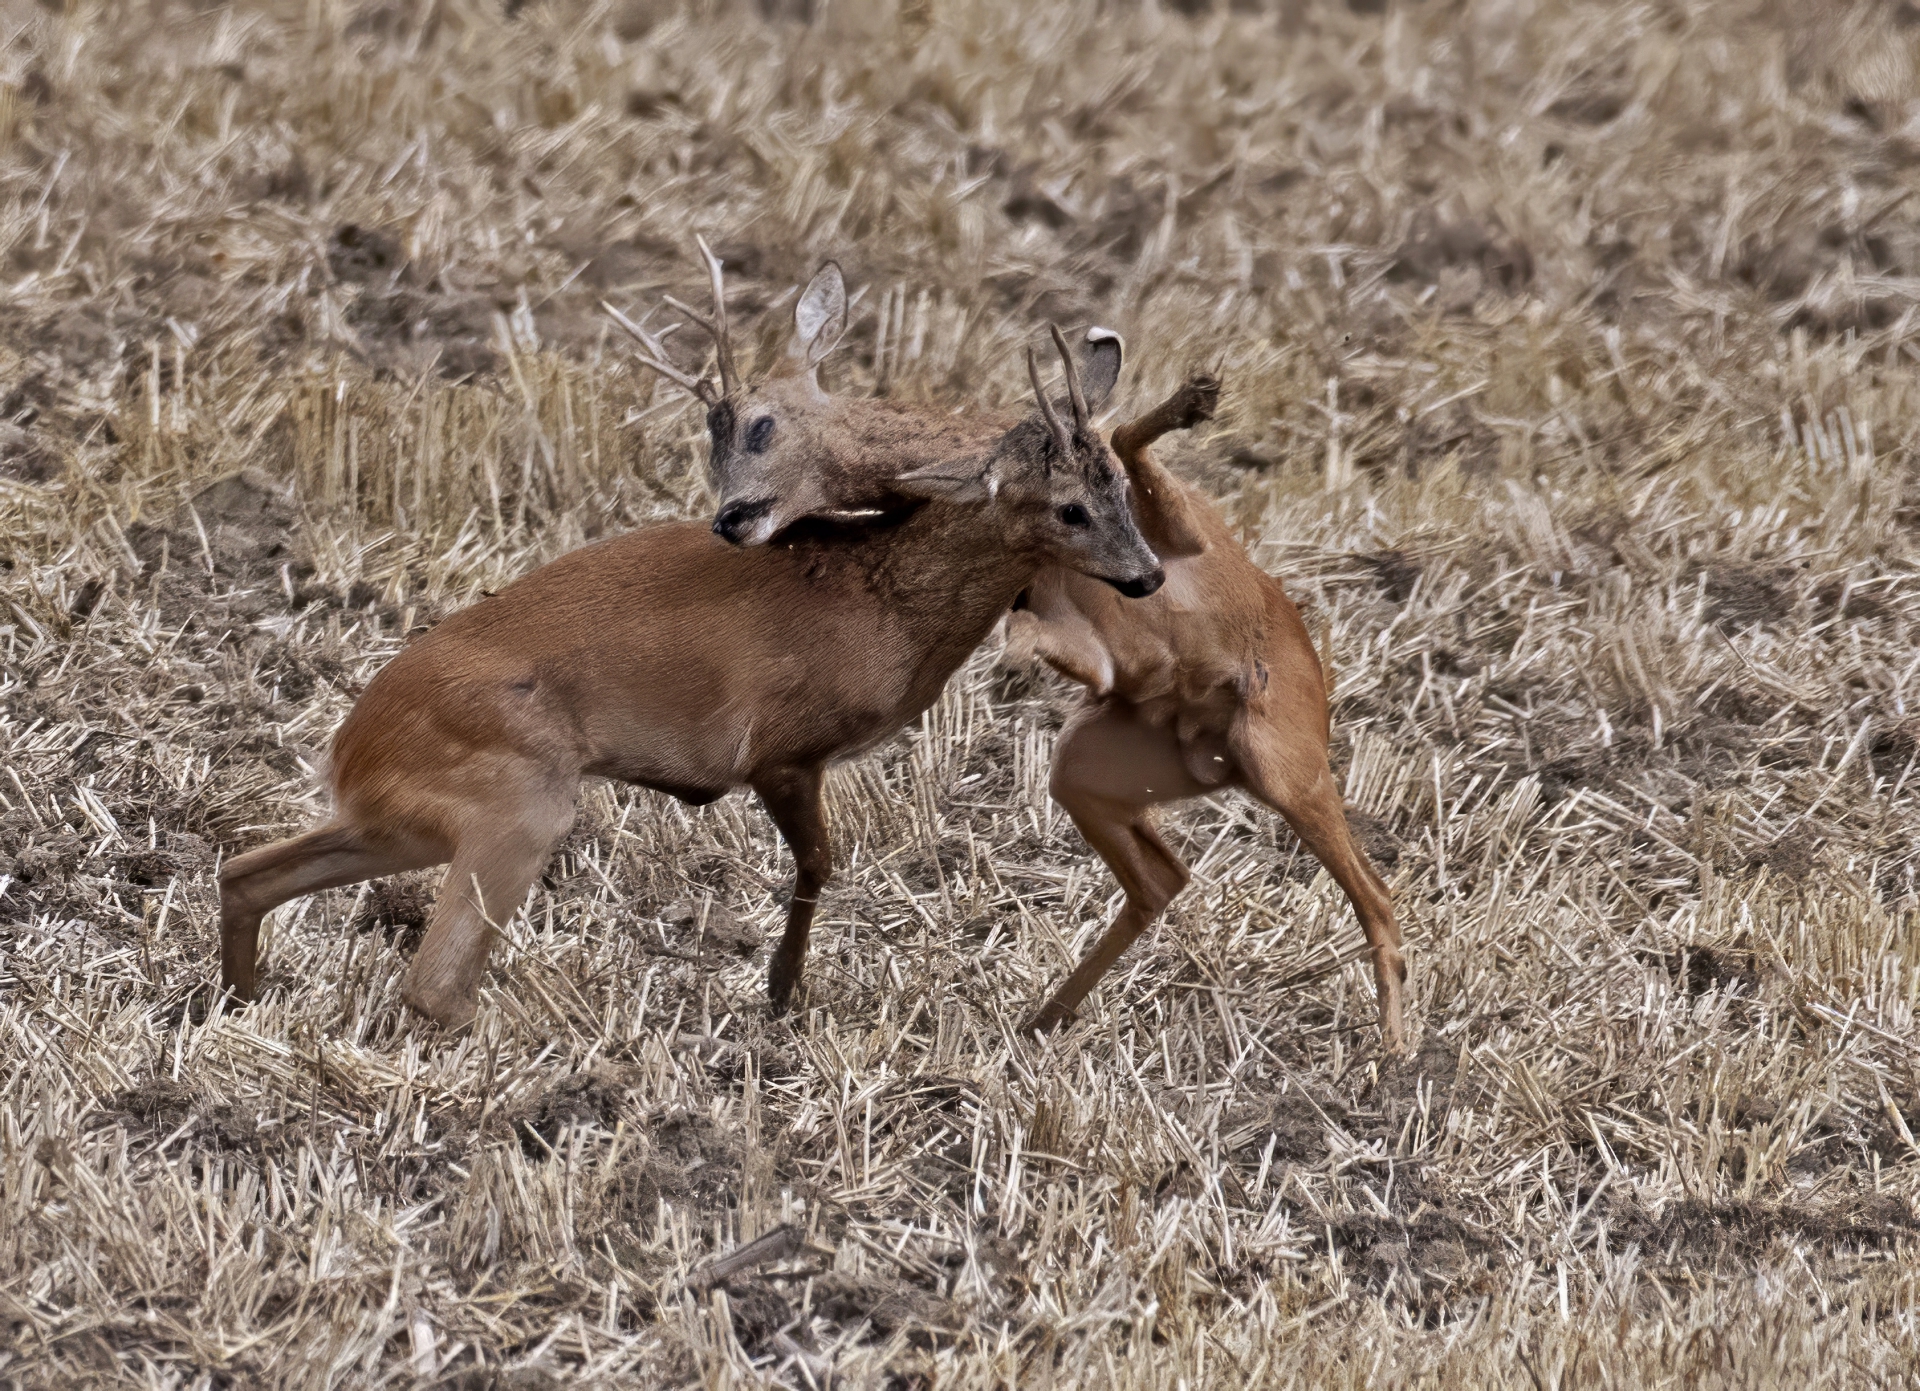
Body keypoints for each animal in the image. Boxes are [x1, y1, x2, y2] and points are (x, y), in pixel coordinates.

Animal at [217, 239, 1159, 1029]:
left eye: (1121, 481)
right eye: (1069, 507)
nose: (1147, 574)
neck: (882, 598)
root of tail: (349, 747)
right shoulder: (780, 747)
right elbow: (820, 862)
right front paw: (780, 993)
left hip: (410, 817)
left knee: (247, 872)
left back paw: (235, 1001)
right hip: (517, 800)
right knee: (432, 984)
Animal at [691, 274, 1413, 1052]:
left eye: (760, 424)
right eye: (711, 432)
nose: (730, 519)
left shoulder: (1182, 537)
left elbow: (1124, 438)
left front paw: (1195, 397)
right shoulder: (1090, 640)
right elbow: (1057, 626)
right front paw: (1016, 659)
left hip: (1287, 768)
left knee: (1378, 900)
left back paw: (1395, 1051)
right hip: (1086, 767)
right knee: (1165, 878)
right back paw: (1041, 1019)